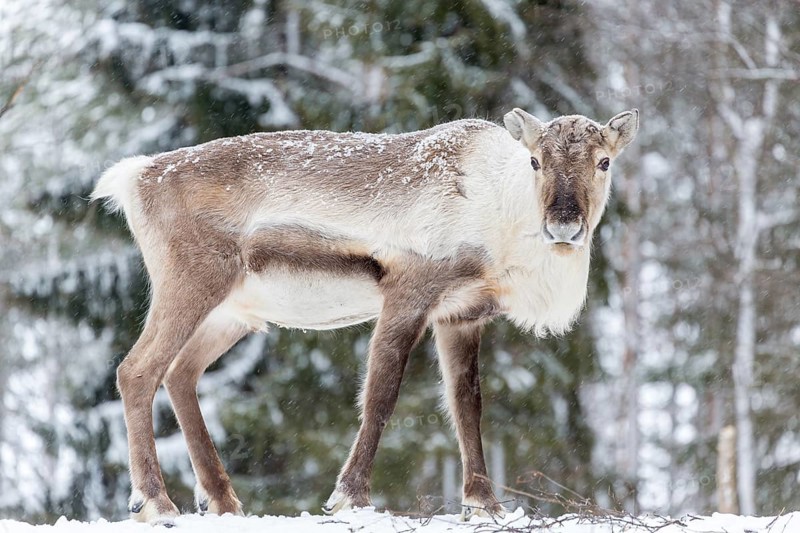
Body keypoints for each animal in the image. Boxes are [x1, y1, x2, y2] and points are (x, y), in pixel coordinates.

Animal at [91, 107, 639, 526]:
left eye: (604, 161)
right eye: (535, 161)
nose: (564, 226)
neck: (501, 220)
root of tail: (136, 177)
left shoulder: (461, 315)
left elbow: (467, 405)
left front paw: (484, 504)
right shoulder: (408, 293)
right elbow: (380, 396)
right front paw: (349, 497)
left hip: (233, 313)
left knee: (180, 373)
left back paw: (223, 501)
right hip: (190, 283)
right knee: (138, 370)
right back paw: (157, 502)